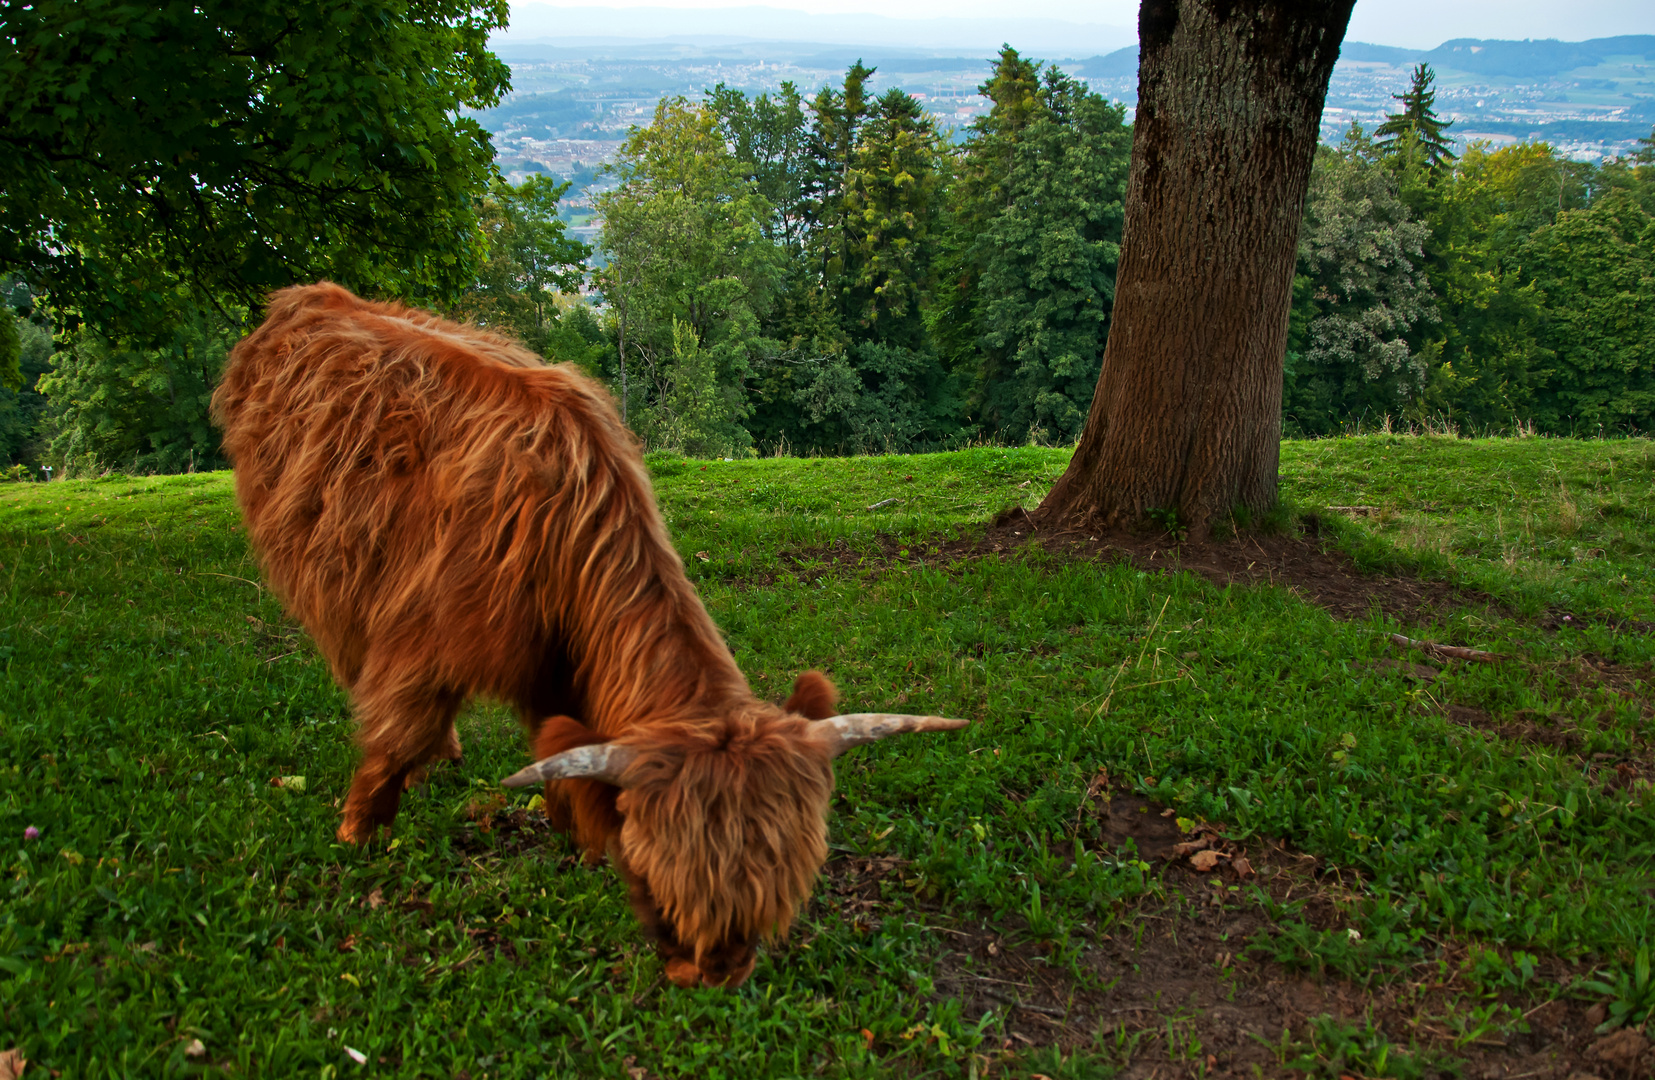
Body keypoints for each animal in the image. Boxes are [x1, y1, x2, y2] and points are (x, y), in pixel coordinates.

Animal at [208, 284, 966, 985]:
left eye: (776, 895)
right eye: (657, 880)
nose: (714, 975)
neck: (564, 525)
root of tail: (309, 296)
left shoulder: (552, 663)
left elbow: (559, 745)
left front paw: (573, 837)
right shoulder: (424, 641)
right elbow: (398, 734)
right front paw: (358, 830)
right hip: (319, 560)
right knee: (350, 654)